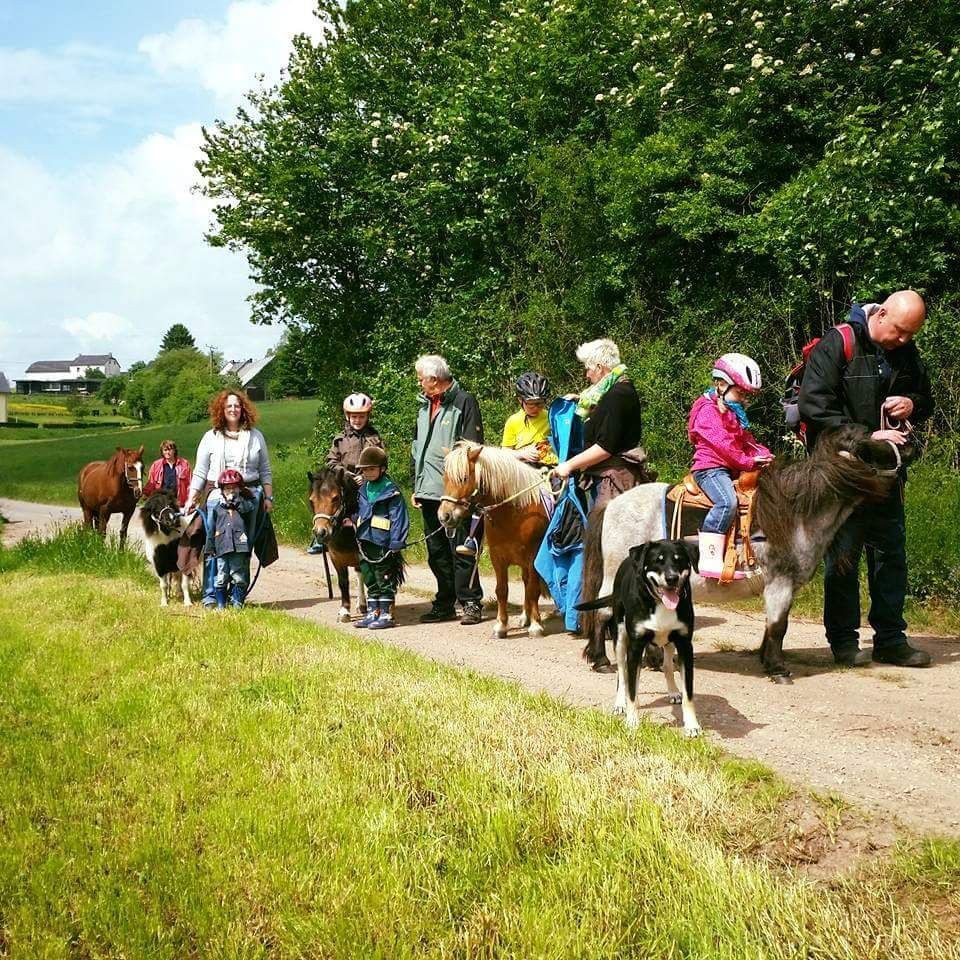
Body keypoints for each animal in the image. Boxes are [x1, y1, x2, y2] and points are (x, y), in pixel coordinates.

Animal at [310, 466, 366, 624]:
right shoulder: (336, 558)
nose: (320, 532)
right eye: (311, 500)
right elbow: (343, 582)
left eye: (335, 497)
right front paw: (344, 611)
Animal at [438, 442, 552, 636]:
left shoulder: (533, 556)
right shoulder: (497, 557)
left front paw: (536, 625)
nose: (444, 516)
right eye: (445, 479)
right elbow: (502, 590)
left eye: (464, 478)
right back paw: (525, 616)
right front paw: (501, 626)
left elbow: (533, 589)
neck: (515, 513)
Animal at [572, 540, 700, 736]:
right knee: (622, 673)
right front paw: (632, 722)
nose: (672, 578)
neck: (658, 603)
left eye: (679, 560)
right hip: (620, 638)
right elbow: (631, 690)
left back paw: (672, 691)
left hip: (669, 642)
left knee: (667, 666)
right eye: (657, 561)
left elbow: (688, 693)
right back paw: (619, 703)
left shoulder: (685, 645)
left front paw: (692, 726)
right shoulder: (635, 646)